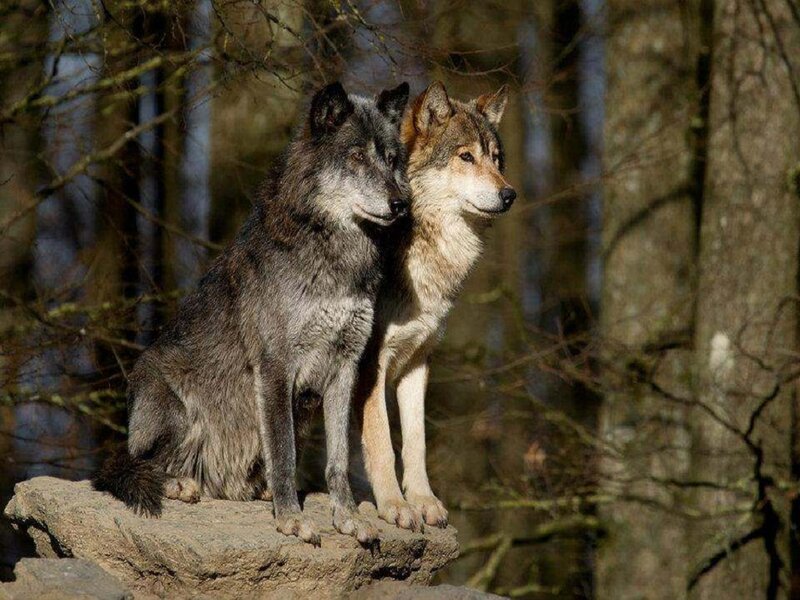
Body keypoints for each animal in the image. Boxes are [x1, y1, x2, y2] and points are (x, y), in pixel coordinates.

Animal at [93, 81, 411, 546]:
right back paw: (181, 484)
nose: (401, 203)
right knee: (137, 463)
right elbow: (284, 453)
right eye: (355, 156)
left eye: (390, 158)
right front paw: (291, 519)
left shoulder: (345, 368)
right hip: (173, 406)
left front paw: (348, 518)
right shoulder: (275, 368)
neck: (334, 256)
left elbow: (336, 461)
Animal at [357, 81, 514, 531]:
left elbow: (415, 441)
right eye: (466, 157)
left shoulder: (418, 361)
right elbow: (381, 440)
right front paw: (394, 506)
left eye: (496, 159)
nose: (509, 193)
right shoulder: (369, 363)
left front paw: (424, 501)